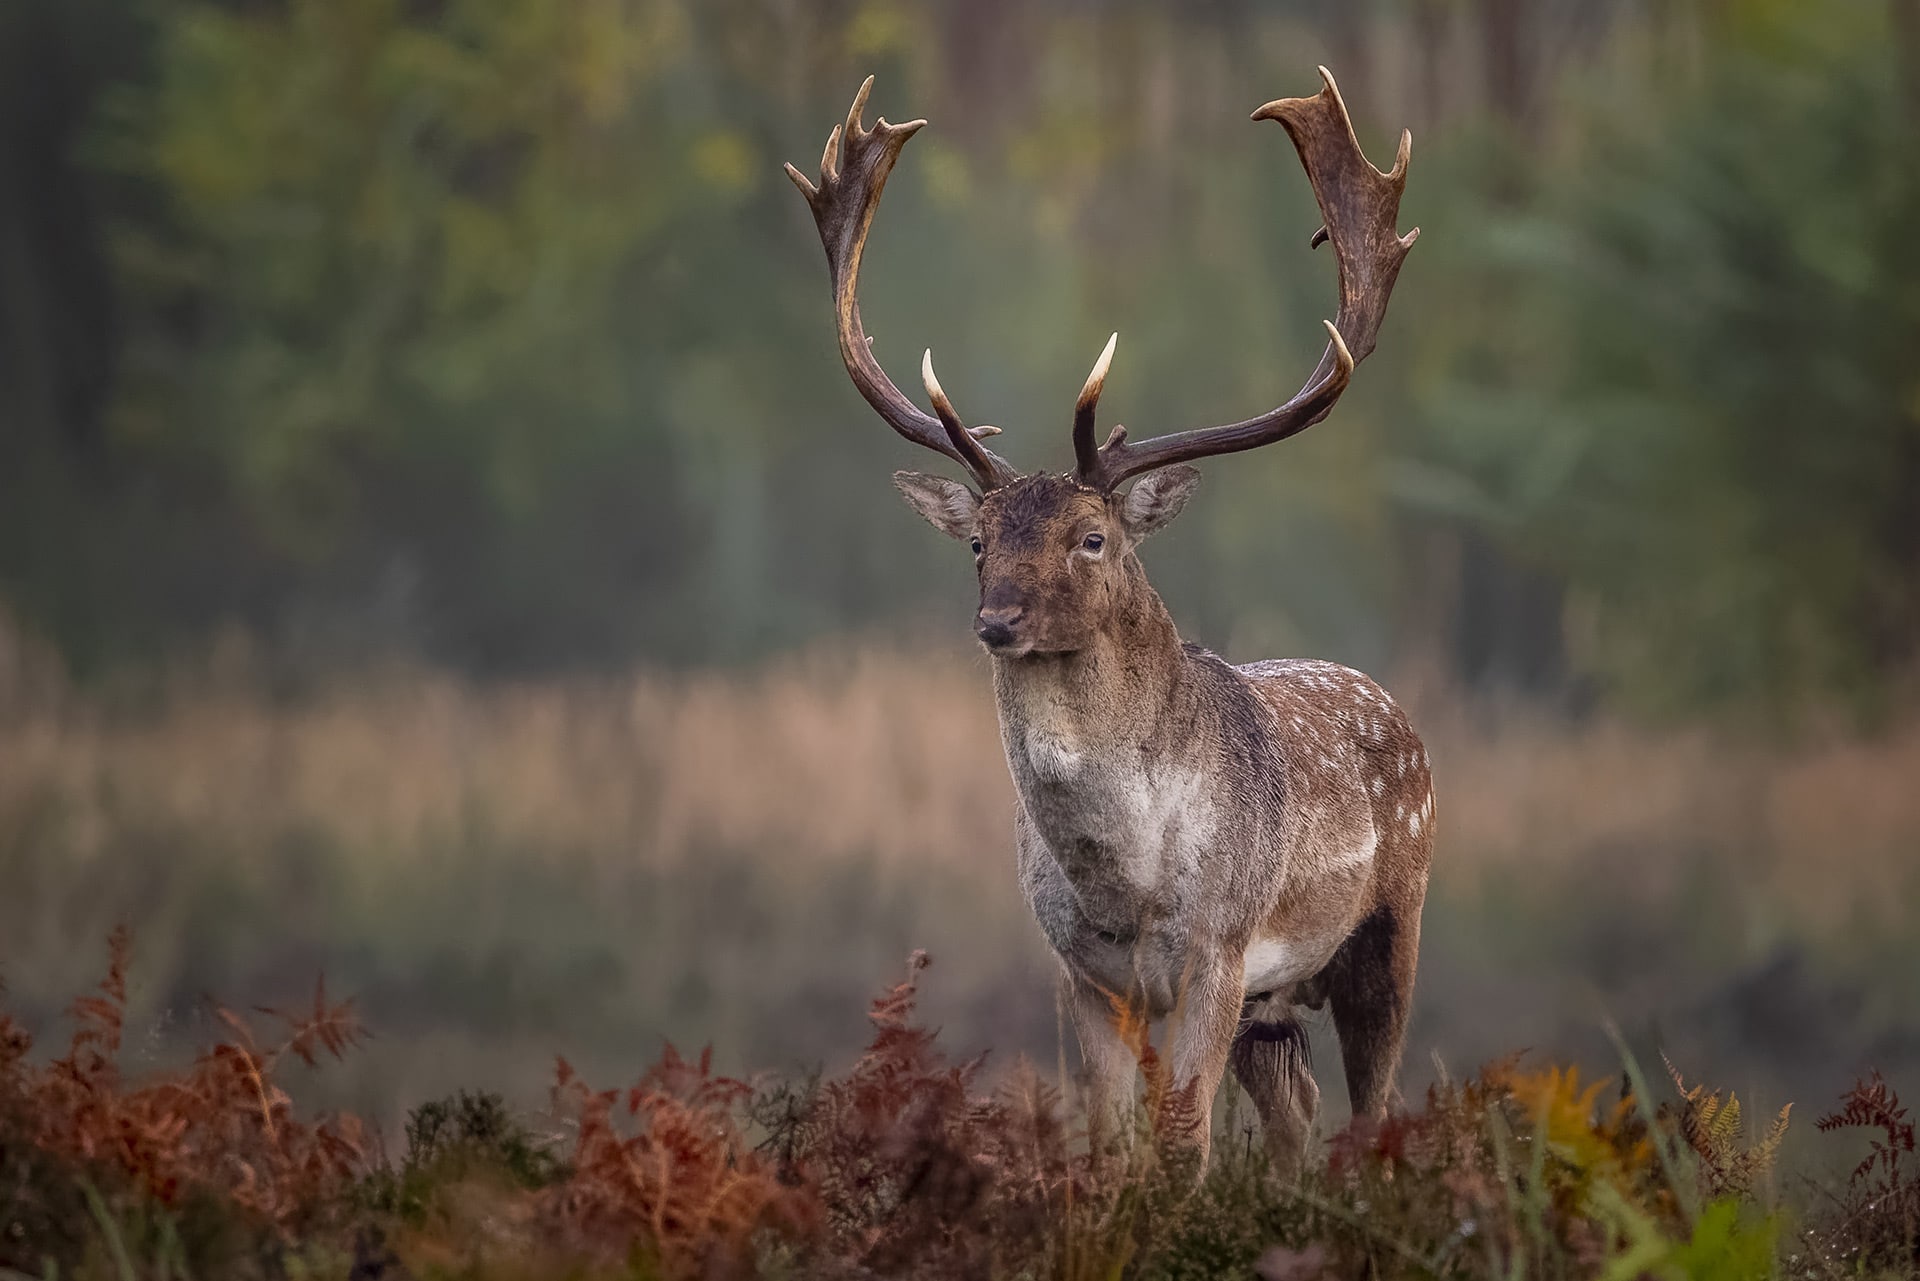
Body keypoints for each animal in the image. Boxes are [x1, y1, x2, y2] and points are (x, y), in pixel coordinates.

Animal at [787, 67, 1436, 1175]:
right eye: (977, 540)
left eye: (1092, 537)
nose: (998, 618)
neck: (1126, 886)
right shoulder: (1081, 970)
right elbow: (1106, 1139)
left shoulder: (1220, 946)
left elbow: (1181, 1138)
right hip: (1276, 1002)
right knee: (1297, 1111)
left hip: (1390, 923)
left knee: (1374, 1114)